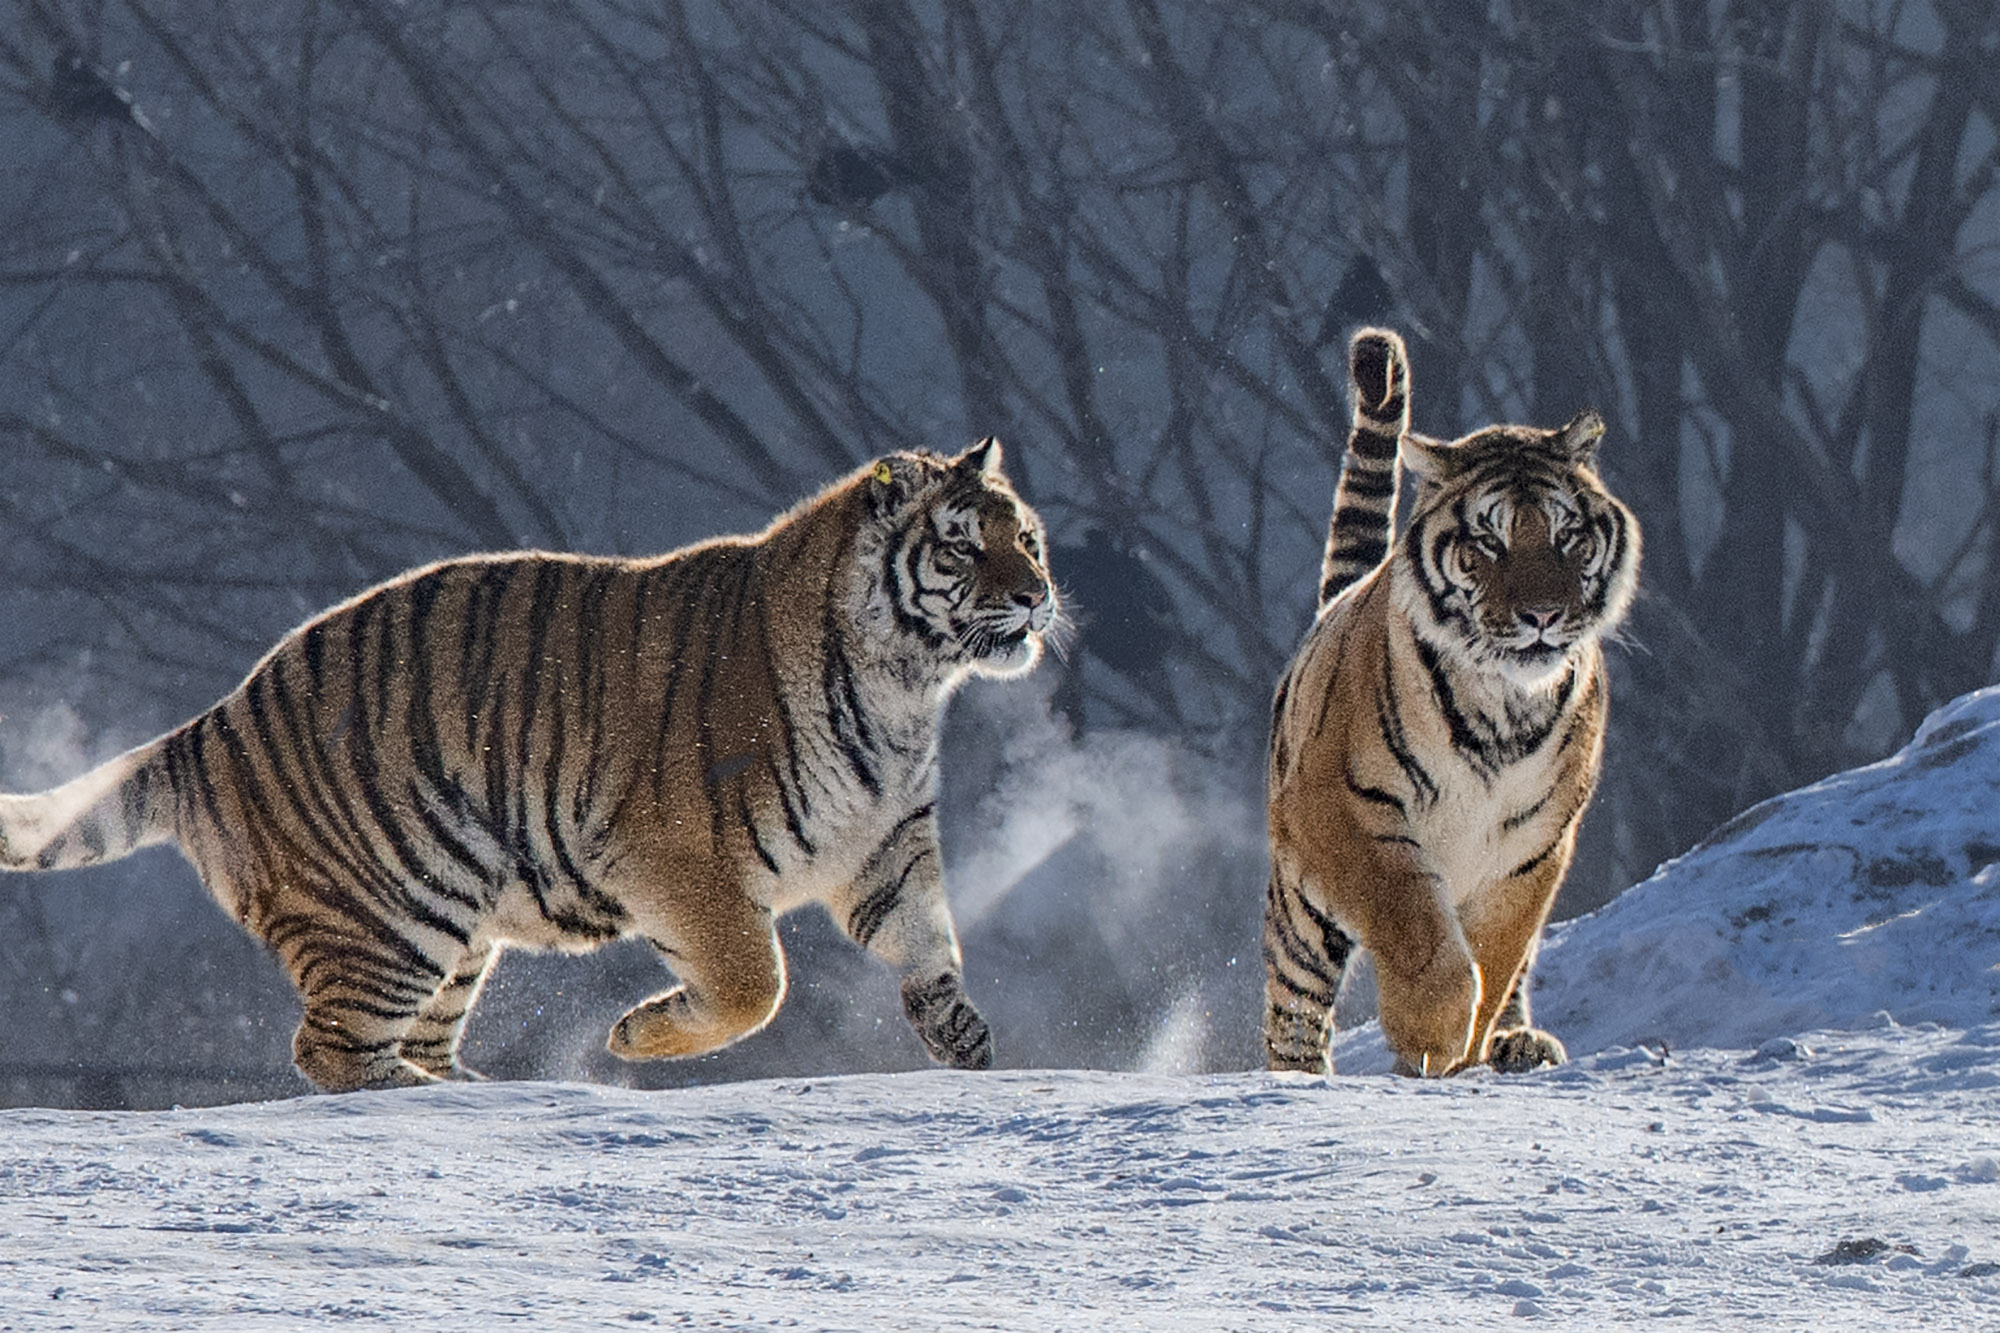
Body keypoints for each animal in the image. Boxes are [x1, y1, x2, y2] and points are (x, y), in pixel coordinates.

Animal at [0, 436, 1056, 1088]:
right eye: (964, 548)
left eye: (1027, 537)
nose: (1039, 595)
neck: (904, 690)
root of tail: (212, 721)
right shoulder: (678, 860)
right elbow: (755, 982)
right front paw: (637, 1034)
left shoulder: (887, 844)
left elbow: (931, 947)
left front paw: (967, 1045)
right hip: (390, 914)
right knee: (330, 1049)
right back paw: (431, 1098)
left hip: (452, 926)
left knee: (405, 1037)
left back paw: (469, 1085)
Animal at [1264, 330, 1640, 1080]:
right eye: (1489, 541)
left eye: (1567, 536)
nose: (1543, 616)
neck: (1505, 703)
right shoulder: (1344, 808)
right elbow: (1417, 927)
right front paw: (1430, 1036)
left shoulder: (1531, 845)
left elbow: (1496, 958)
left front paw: (1465, 1051)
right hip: (1301, 905)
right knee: (1294, 1006)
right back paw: (1299, 1073)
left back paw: (1521, 1045)